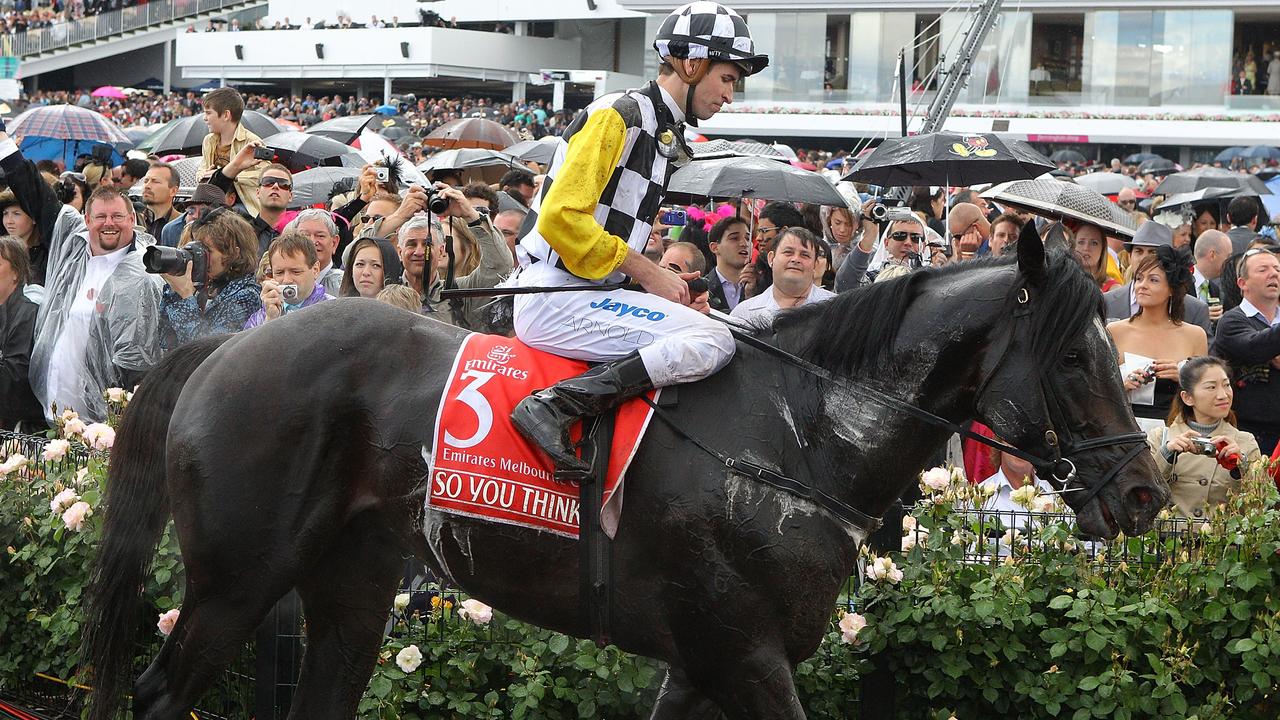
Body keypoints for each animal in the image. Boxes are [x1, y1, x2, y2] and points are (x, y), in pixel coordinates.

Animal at [80, 233, 1172, 712]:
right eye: (1073, 359)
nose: (1143, 494)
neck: (798, 435)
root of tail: (224, 348)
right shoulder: (742, 654)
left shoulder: (701, 662)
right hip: (235, 581)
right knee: (161, 693)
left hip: (349, 582)